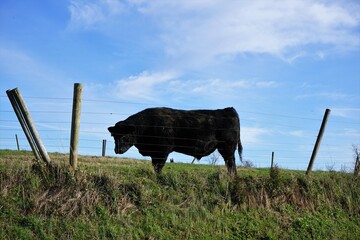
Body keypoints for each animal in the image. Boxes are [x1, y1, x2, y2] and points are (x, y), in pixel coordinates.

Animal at [107, 108, 242, 173]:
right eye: (114, 136)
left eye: (124, 136)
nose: (117, 150)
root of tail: (228, 109)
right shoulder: (154, 152)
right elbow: (155, 165)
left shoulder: (162, 150)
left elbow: (159, 166)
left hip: (227, 147)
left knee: (231, 163)